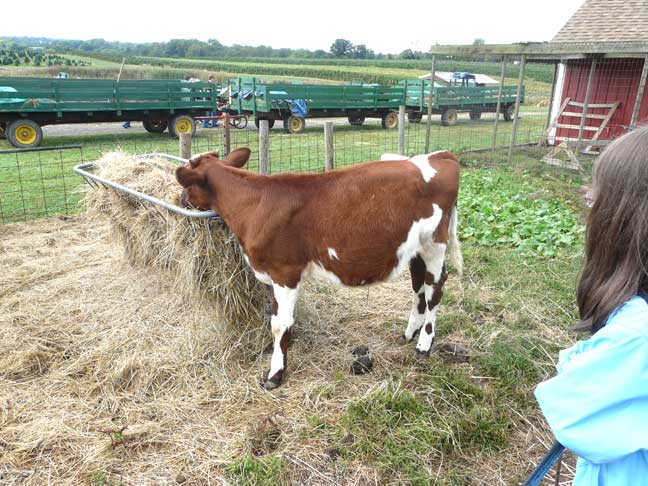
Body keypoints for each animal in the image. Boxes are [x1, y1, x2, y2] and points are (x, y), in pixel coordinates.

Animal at [176, 146, 460, 390]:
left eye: (188, 185)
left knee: (434, 289)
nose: (180, 199)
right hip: (415, 248)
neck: (255, 204)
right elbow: (279, 320)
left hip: (434, 243)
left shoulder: (285, 272)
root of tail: (439, 155)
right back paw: (409, 333)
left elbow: (279, 324)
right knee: (418, 285)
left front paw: (275, 373)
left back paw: (424, 345)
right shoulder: (276, 276)